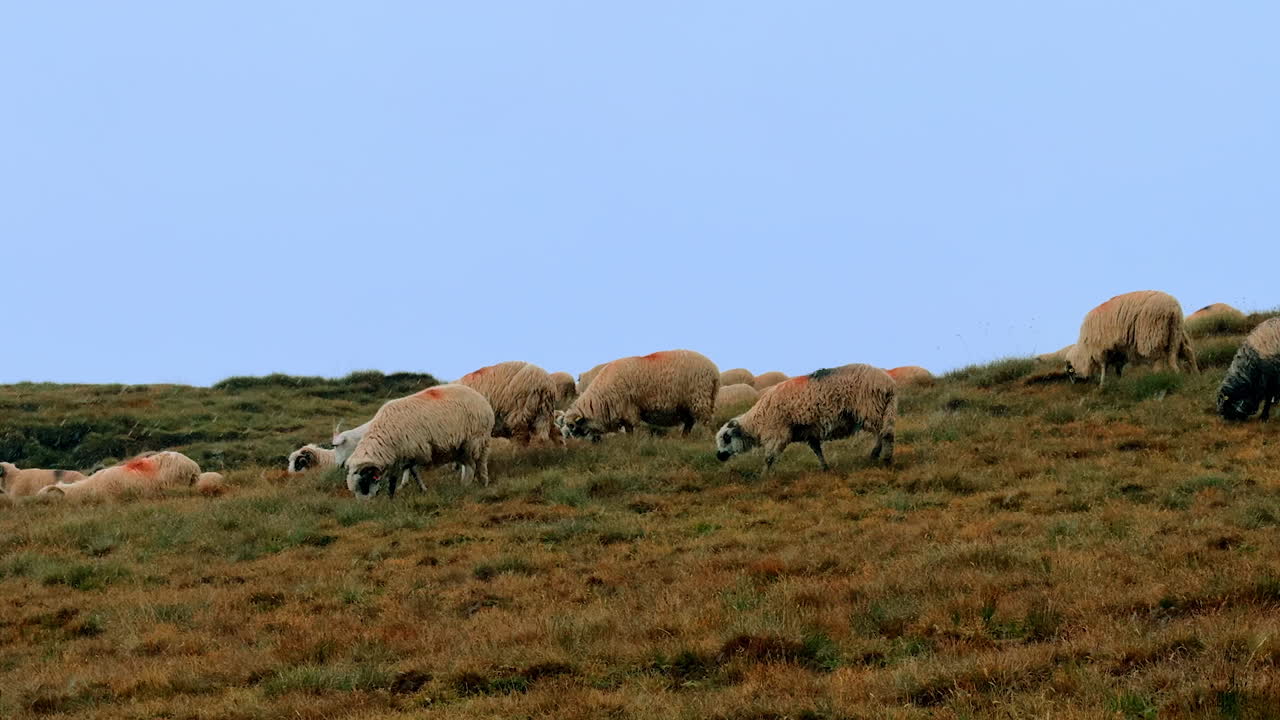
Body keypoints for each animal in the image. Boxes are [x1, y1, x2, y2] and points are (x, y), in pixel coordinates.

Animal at [345, 384, 494, 500]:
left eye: (364, 483)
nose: (366, 505)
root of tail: (482, 400)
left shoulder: (413, 451)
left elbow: (413, 473)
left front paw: (420, 489)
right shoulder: (401, 456)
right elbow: (402, 477)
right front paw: (393, 496)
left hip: (473, 440)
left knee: (473, 465)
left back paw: (468, 485)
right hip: (465, 446)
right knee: (476, 464)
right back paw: (478, 482)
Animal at [560, 350, 719, 442]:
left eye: (572, 426)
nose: (574, 441)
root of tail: (714, 370)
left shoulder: (629, 408)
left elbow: (633, 427)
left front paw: (634, 441)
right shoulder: (623, 412)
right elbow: (628, 429)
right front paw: (629, 441)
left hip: (699, 398)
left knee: (704, 421)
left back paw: (705, 437)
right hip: (688, 404)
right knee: (689, 422)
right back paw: (684, 438)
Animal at [715, 364, 897, 475]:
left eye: (726, 437)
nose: (719, 456)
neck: (758, 422)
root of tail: (888, 384)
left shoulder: (777, 433)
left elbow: (769, 458)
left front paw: (763, 476)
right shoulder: (810, 432)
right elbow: (817, 451)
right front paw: (825, 468)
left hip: (870, 409)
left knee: (885, 434)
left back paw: (885, 459)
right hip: (879, 411)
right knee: (883, 433)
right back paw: (875, 454)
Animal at [1065, 290, 1199, 386]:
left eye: (1070, 372)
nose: (1073, 385)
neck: (1084, 348)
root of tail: (1173, 308)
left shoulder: (1100, 349)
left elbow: (1104, 367)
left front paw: (1101, 385)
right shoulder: (1118, 351)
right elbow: (1118, 367)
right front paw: (1118, 381)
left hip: (1151, 333)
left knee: (1158, 360)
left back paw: (1158, 377)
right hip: (1176, 332)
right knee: (1187, 352)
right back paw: (1195, 374)